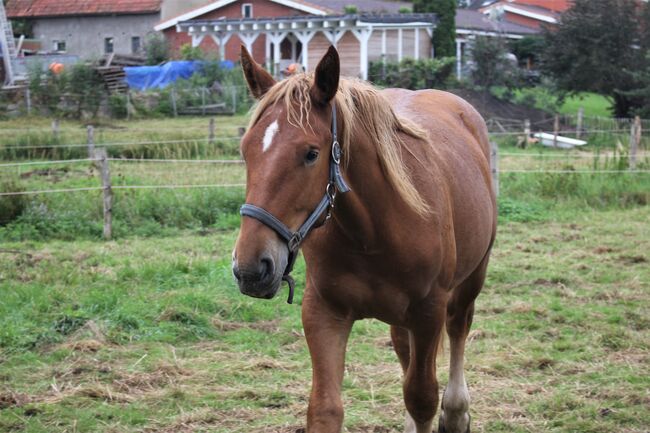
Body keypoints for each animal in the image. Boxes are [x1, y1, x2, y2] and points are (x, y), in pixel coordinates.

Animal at [233, 44, 496, 432]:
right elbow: (325, 408)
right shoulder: (323, 311)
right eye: (246, 150)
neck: (374, 232)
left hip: (471, 280)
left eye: (311, 153)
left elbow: (422, 398)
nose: (252, 269)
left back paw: (456, 411)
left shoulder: (428, 312)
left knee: (459, 328)